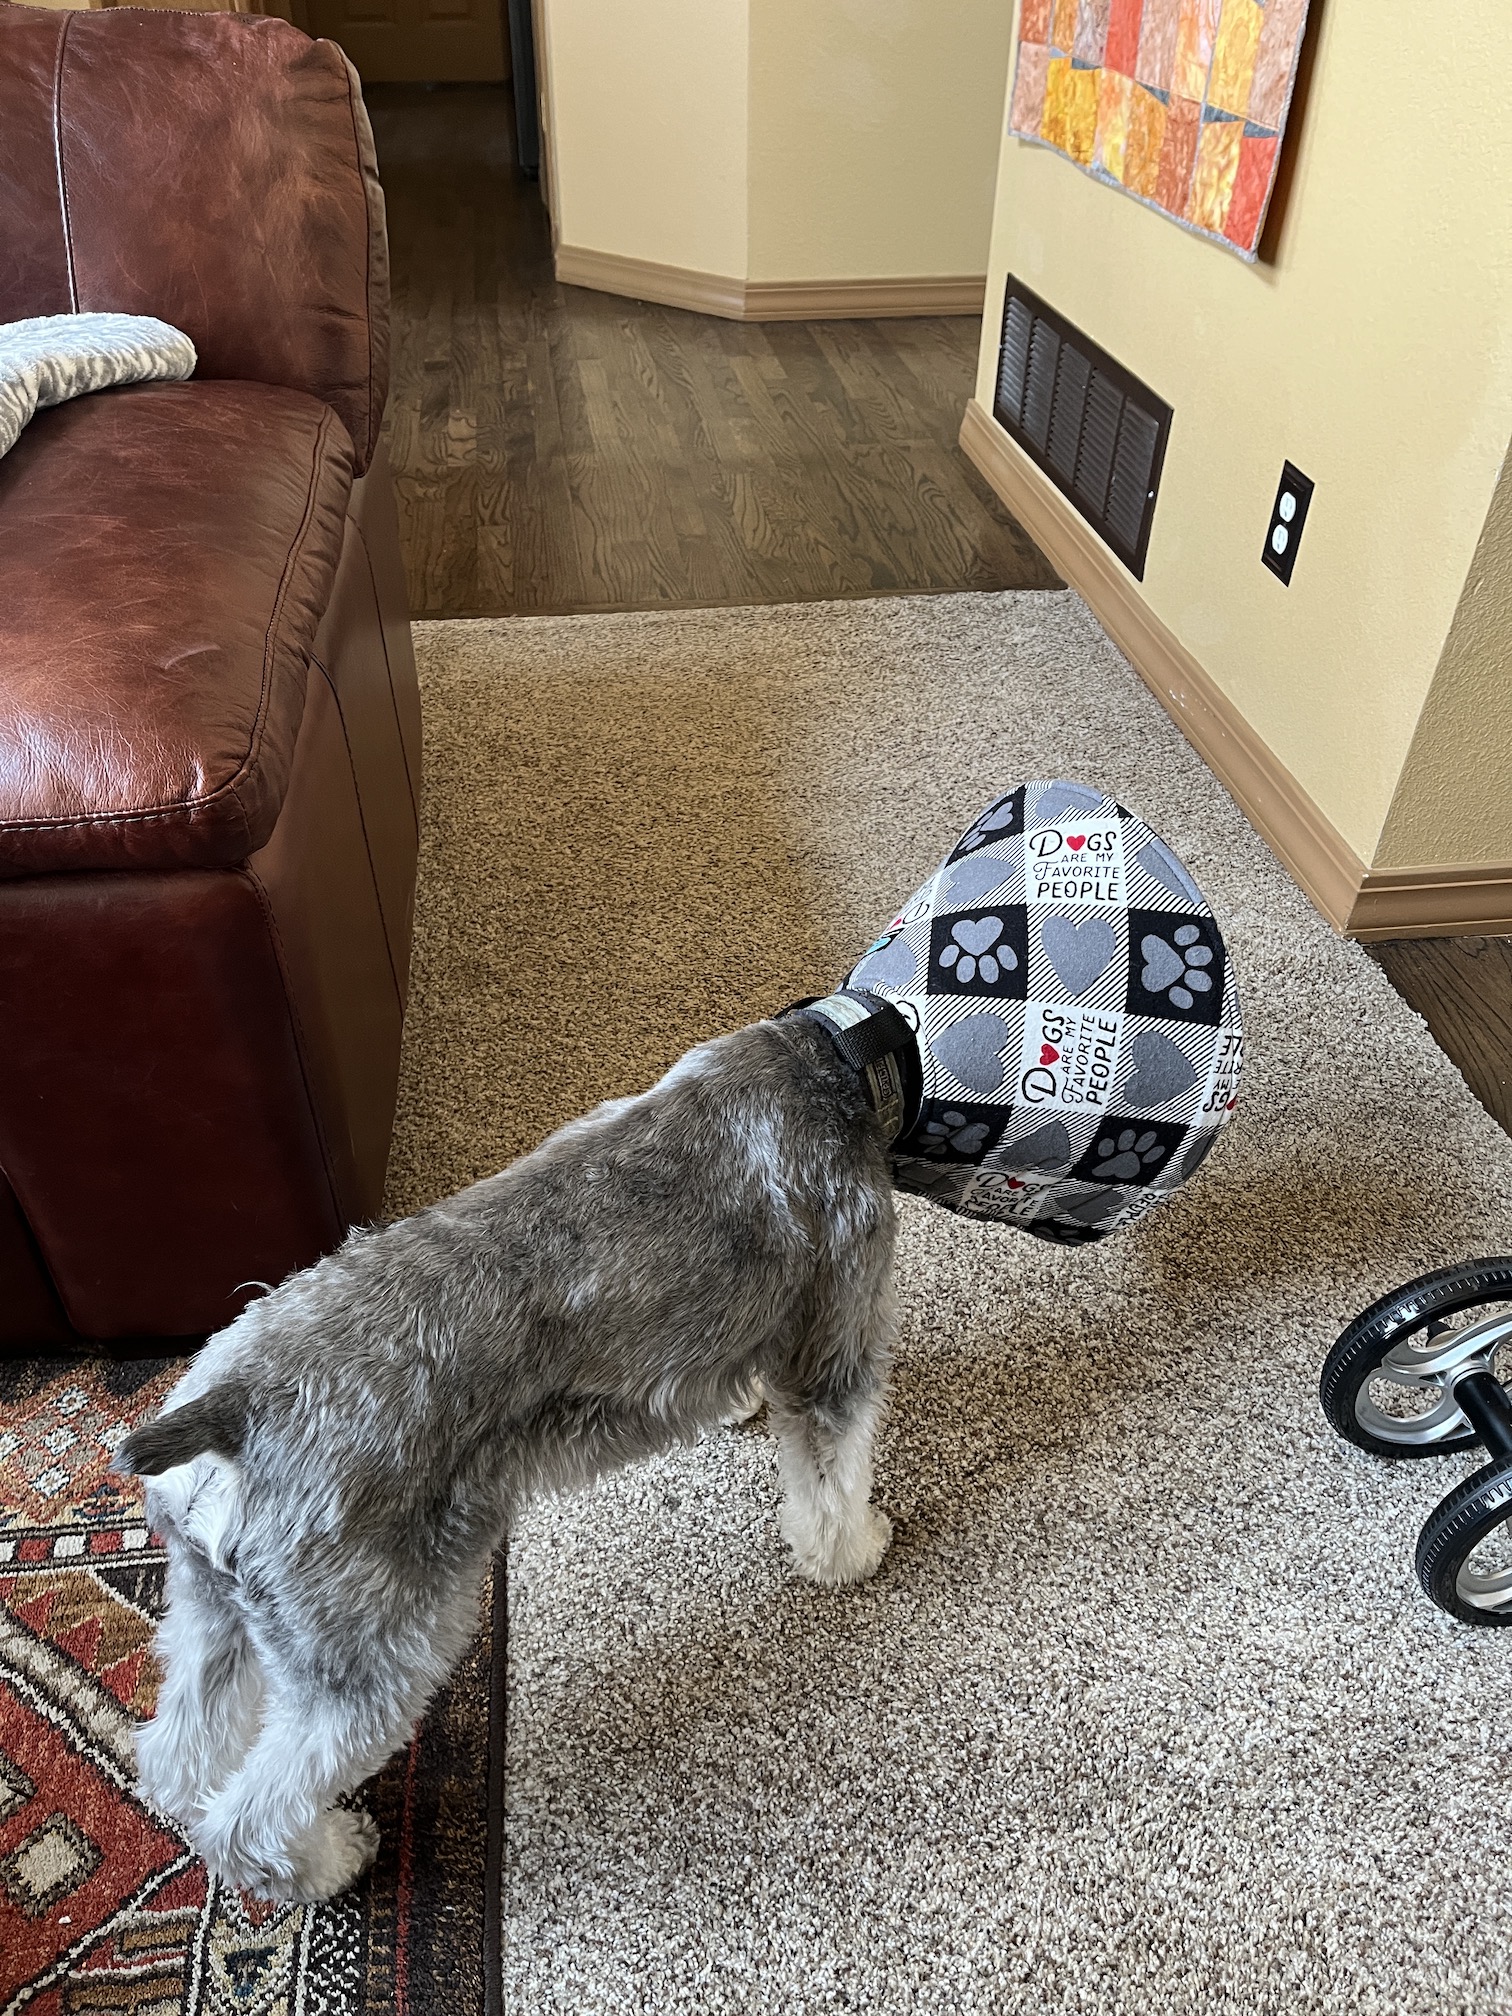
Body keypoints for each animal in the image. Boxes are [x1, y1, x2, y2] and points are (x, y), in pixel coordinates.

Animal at [116, 1011, 898, 1903]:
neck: (832, 1056)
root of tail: (236, 1404)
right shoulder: (836, 1351)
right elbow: (835, 1473)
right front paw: (852, 1552)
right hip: (375, 1659)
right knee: (250, 1817)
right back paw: (328, 1859)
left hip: (214, 1610)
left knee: (178, 1756)